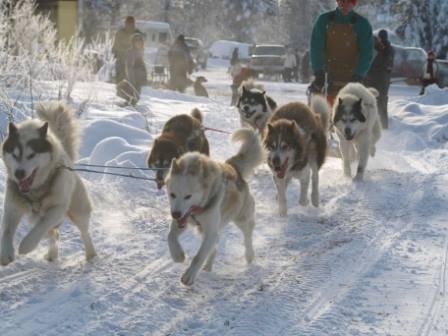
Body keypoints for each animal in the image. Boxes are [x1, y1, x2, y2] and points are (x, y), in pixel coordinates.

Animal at [1, 102, 96, 266]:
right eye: (14, 154)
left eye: (32, 155)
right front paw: (6, 253)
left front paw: (26, 245)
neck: (36, 190)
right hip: (36, 218)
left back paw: (91, 254)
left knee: (84, 232)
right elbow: (7, 231)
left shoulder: (57, 208)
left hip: (78, 211)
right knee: (53, 234)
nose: (19, 173)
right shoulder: (12, 207)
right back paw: (52, 254)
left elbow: (41, 226)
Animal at [165, 127, 264, 284]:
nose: (175, 214)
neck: (198, 209)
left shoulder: (210, 231)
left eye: (188, 196)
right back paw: (208, 266)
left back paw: (249, 255)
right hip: (206, 229)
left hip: (241, 219)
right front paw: (178, 255)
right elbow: (170, 237)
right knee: (215, 246)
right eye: (172, 194)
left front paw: (189, 275)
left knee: (247, 236)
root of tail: (233, 167)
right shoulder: (182, 221)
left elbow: (199, 256)